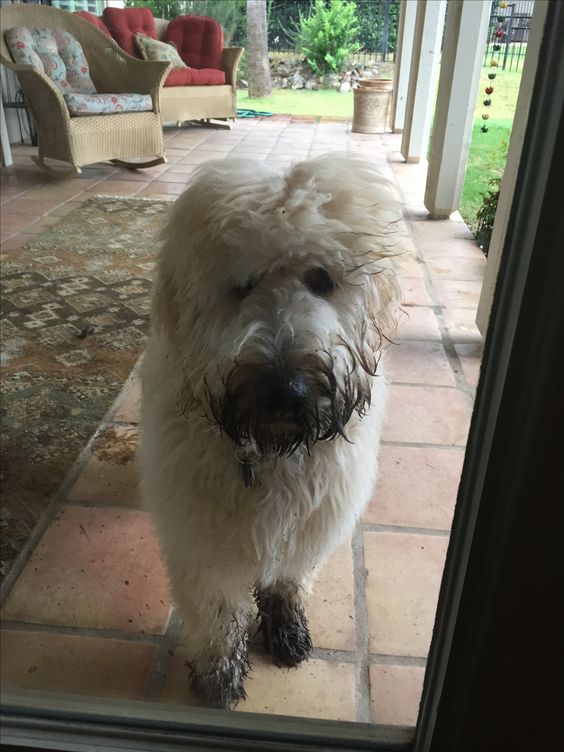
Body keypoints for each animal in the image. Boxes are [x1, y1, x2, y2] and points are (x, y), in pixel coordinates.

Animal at [139, 156, 404, 708]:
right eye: (243, 284)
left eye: (321, 278)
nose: (285, 391)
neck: (272, 450)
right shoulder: (200, 536)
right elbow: (217, 608)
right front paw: (220, 670)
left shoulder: (313, 519)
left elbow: (288, 576)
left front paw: (284, 623)